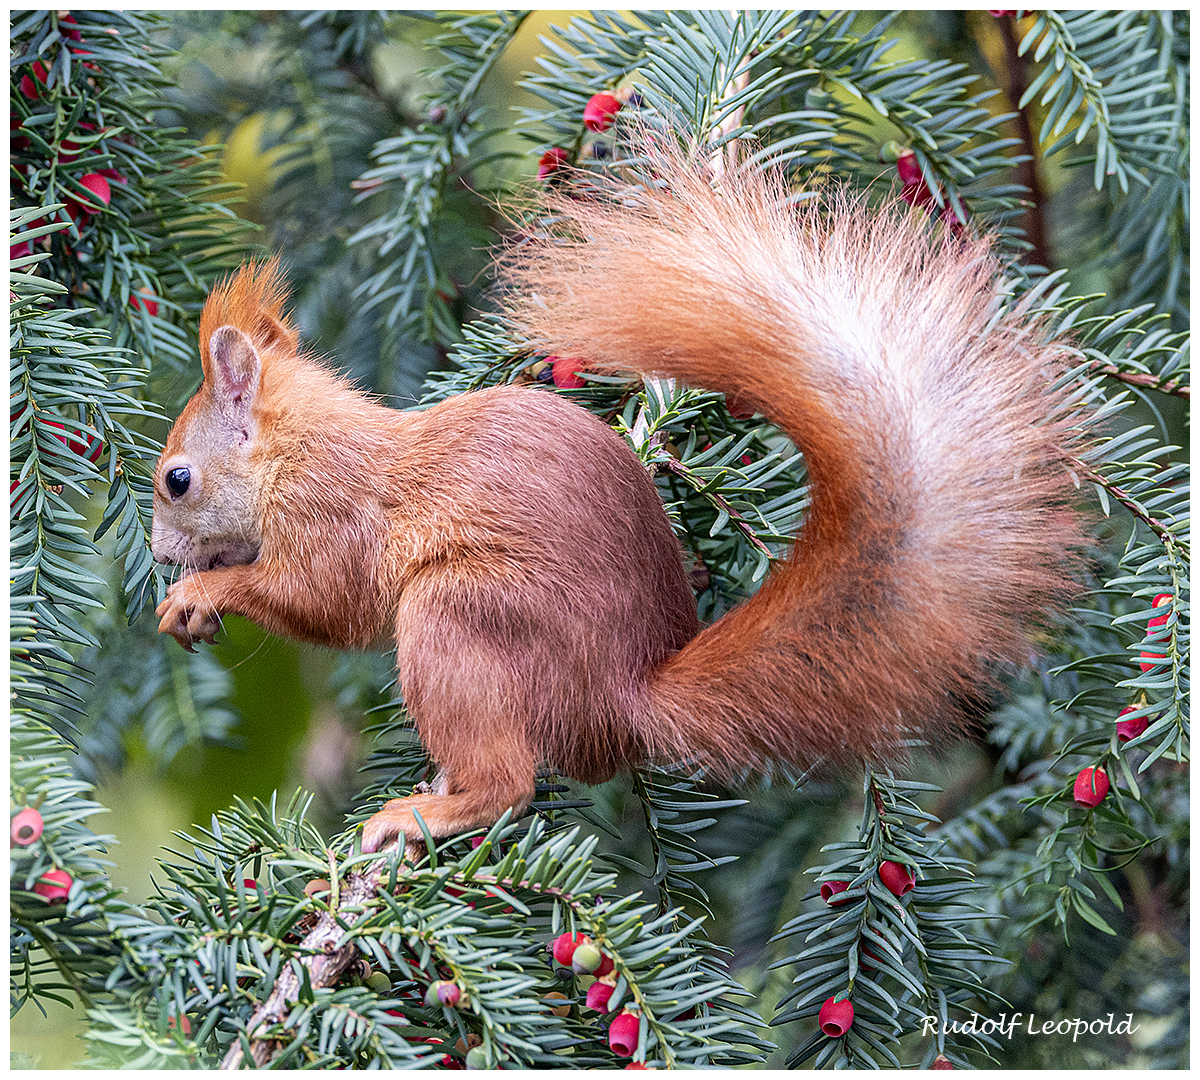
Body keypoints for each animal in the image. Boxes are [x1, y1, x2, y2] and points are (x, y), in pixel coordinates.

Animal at [152, 141, 1089, 854]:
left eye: (176, 479)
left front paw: (203, 593)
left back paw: (428, 811)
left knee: (507, 781)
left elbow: (324, 601)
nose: (159, 556)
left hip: (461, 617)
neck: (294, 450)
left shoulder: (331, 512)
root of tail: (624, 697)